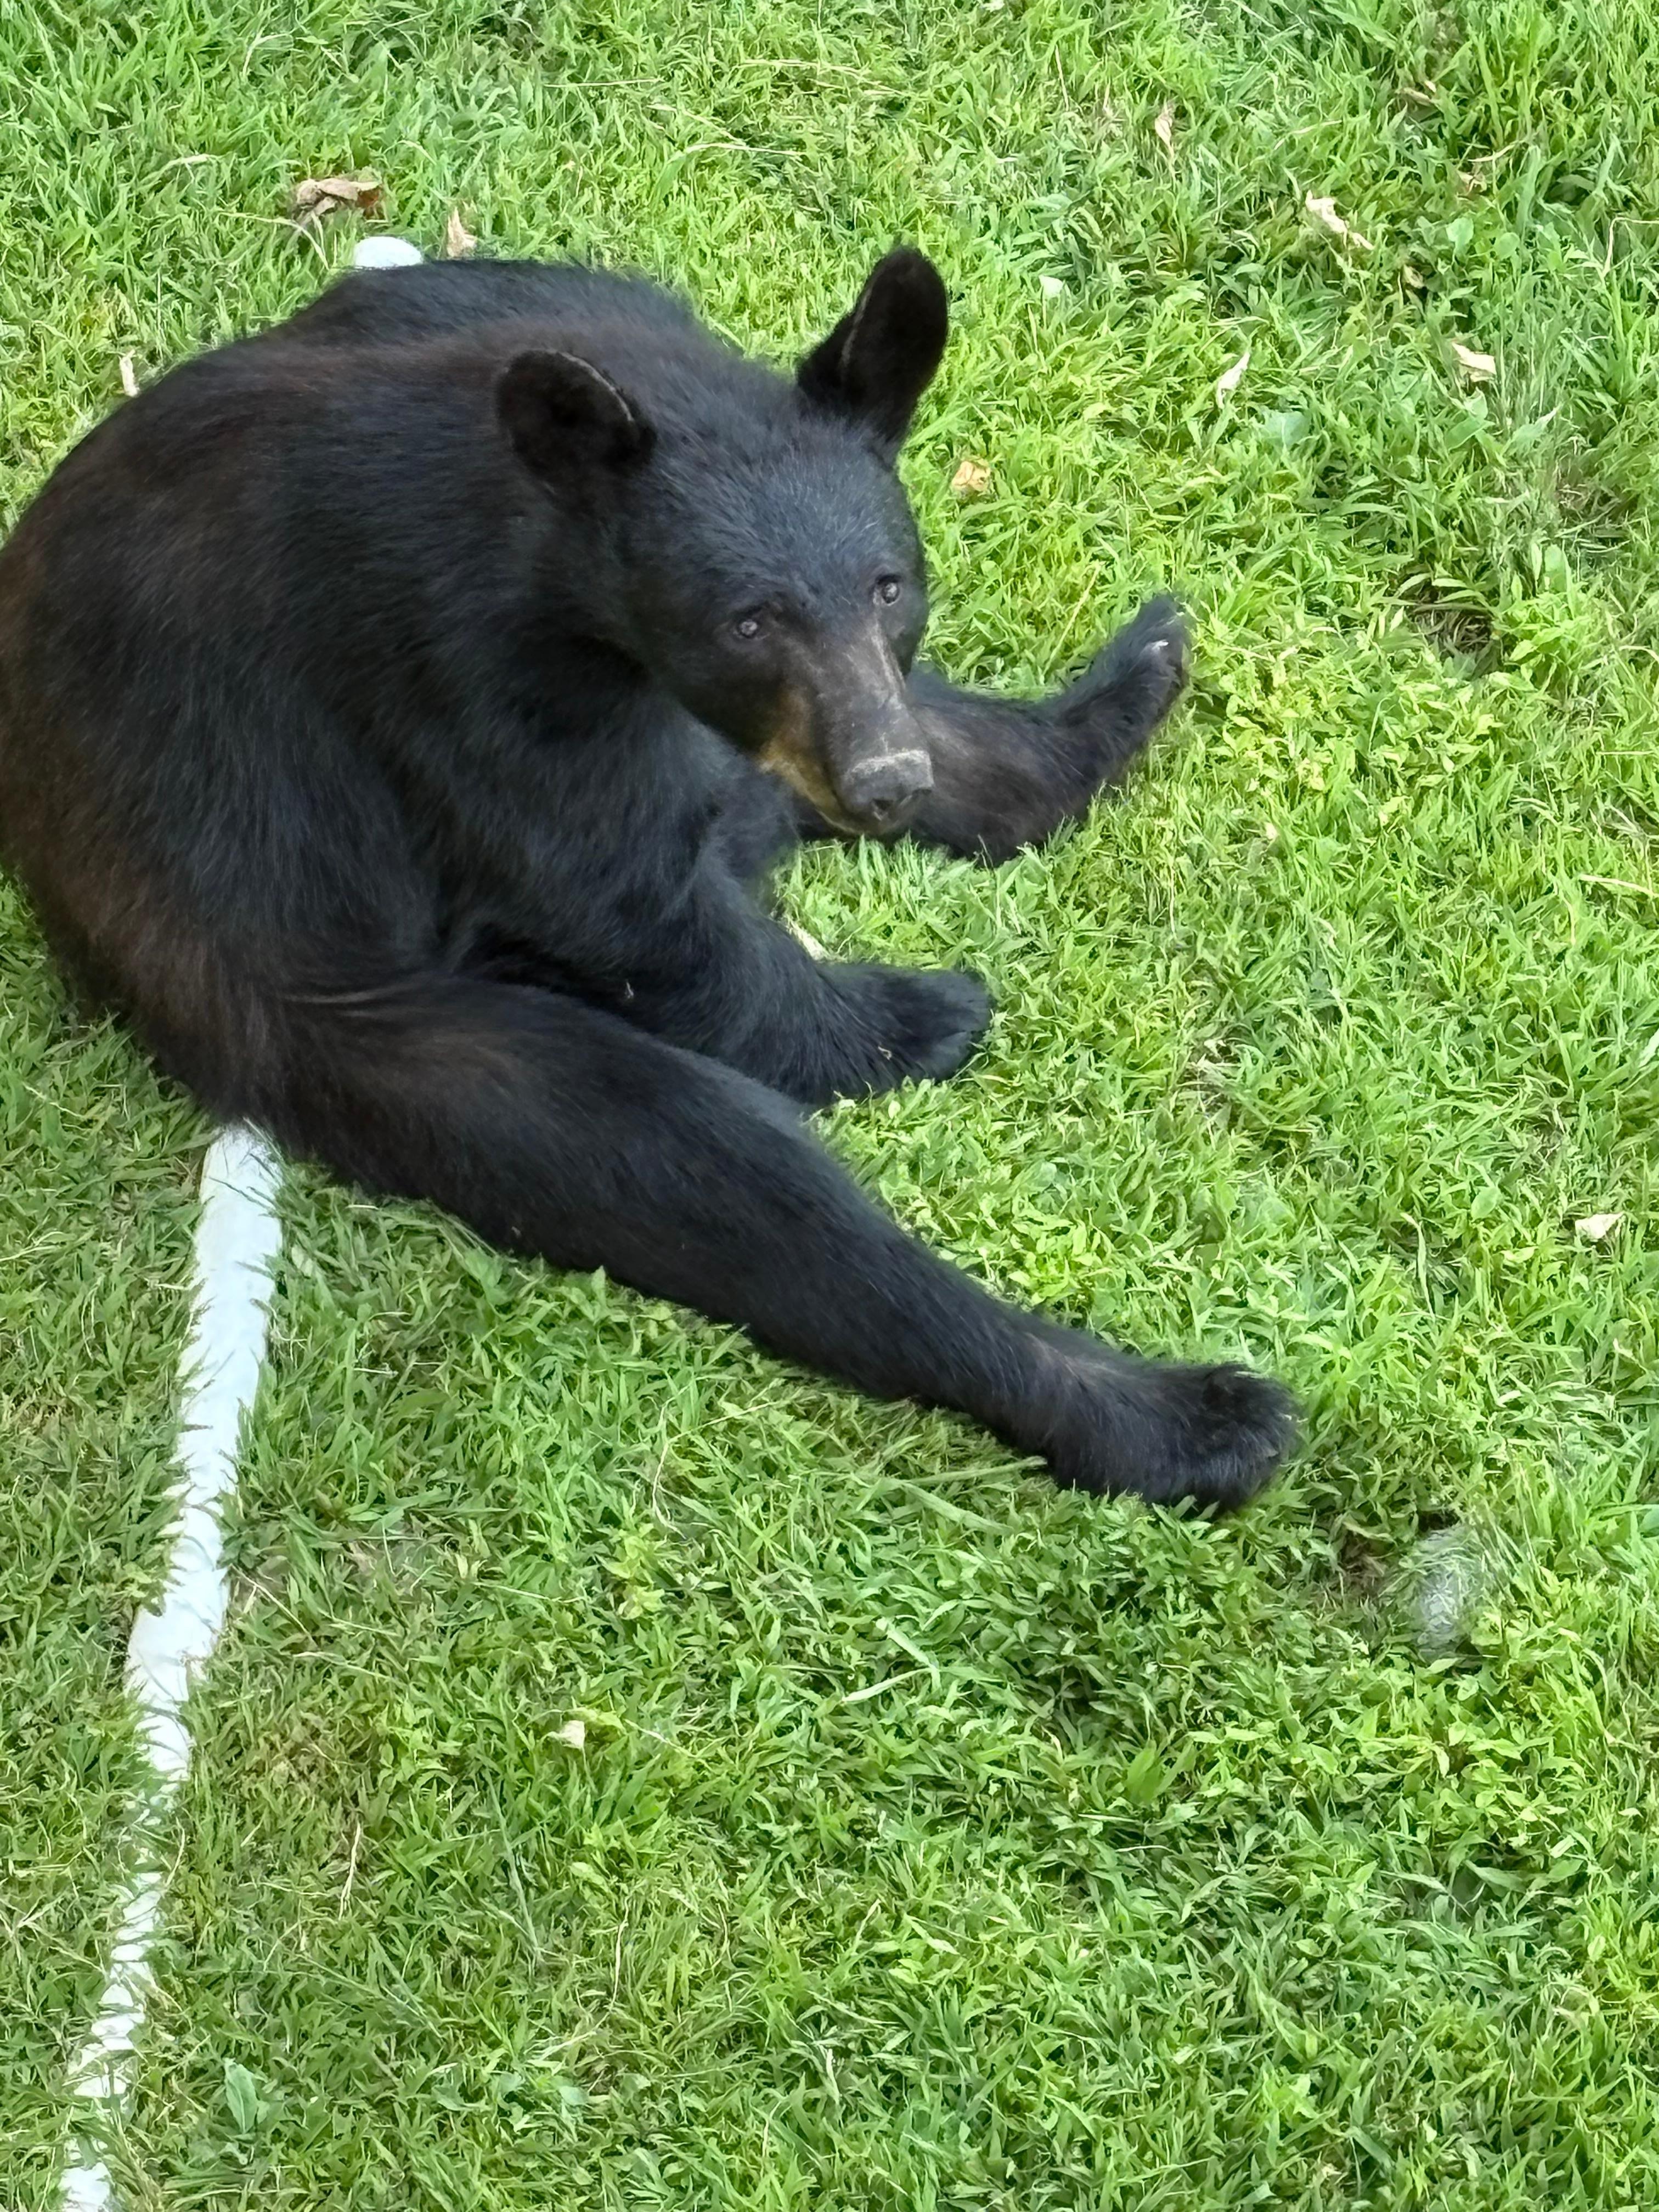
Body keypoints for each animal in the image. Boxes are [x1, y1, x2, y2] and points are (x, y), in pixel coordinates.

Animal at [0, 246, 1297, 1507]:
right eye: (748, 621)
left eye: (889, 585)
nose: (882, 785)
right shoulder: (449, 654)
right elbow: (611, 891)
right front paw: (915, 1014)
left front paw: (1121, 687)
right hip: (317, 993)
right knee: (711, 1174)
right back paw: (1189, 1416)